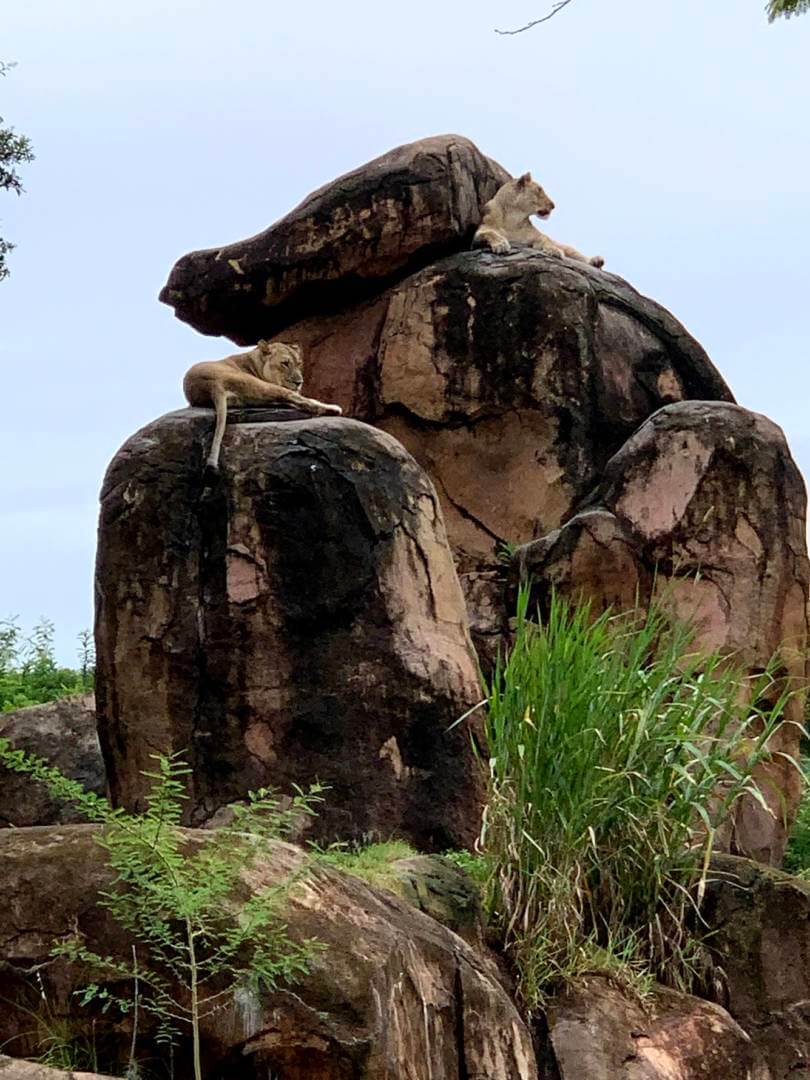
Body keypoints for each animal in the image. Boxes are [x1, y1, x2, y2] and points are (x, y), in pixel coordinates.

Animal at [183, 339, 343, 470]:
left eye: (299, 363)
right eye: (285, 364)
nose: (299, 382)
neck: (255, 361)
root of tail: (211, 385)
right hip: (259, 385)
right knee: (298, 400)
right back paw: (333, 409)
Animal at [475, 171, 604, 268]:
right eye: (539, 189)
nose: (553, 205)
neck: (514, 218)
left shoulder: (536, 235)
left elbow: (545, 239)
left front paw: (554, 250)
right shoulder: (479, 233)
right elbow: (489, 233)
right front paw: (501, 245)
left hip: (567, 248)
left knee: (577, 255)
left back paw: (596, 261)